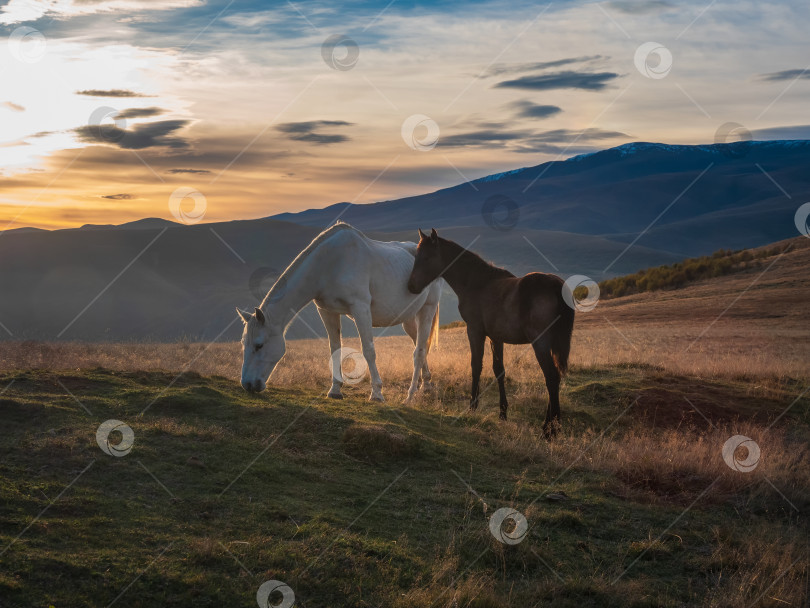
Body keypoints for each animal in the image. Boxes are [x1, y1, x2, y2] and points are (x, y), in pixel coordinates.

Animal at [237, 221, 442, 402]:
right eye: (243, 344)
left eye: (259, 345)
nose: (247, 385)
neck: (331, 263)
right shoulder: (327, 311)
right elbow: (335, 348)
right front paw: (335, 390)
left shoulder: (361, 309)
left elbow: (369, 350)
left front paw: (377, 393)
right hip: (409, 319)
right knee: (419, 344)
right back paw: (426, 384)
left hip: (427, 309)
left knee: (421, 348)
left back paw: (419, 389)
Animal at [408, 229, 572, 436]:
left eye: (427, 257)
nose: (411, 286)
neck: (478, 283)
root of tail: (557, 286)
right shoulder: (496, 337)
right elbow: (498, 370)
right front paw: (502, 413)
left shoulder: (474, 331)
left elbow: (476, 366)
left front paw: (472, 406)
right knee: (554, 377)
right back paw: (552, 425)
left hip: (540, 343)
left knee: (551, 377)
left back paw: (549, 430)